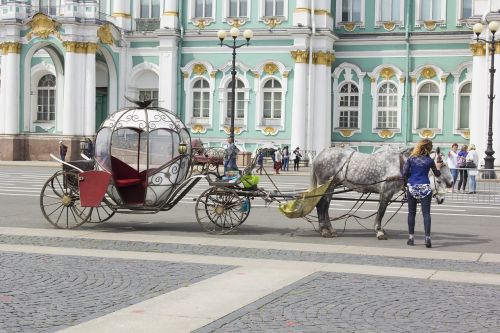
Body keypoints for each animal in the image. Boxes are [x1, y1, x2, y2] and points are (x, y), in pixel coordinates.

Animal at [310, 147, 456, 237]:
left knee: (325, 206)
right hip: (325, 185)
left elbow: (381, 211)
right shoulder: (386, 192)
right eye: (442, 165)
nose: (451, 182)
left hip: (330, 187)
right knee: (321, 205)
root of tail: (319, 155)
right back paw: (324, 230)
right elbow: (381, 211)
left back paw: (330, 229)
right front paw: (379, 230)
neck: (400, 164)